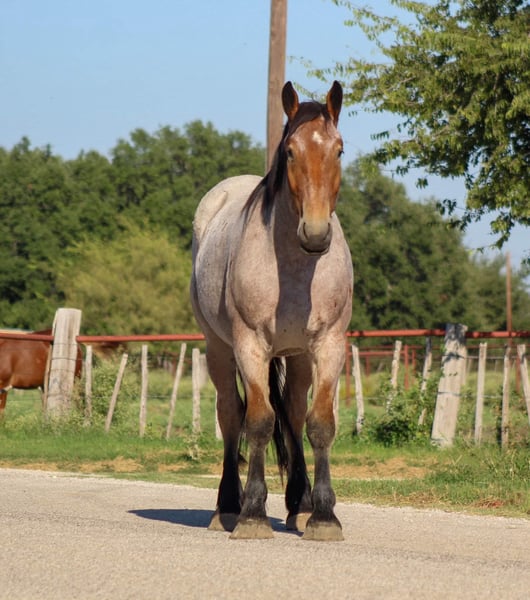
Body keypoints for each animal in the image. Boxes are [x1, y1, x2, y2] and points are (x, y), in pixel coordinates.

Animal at [190, 81, 353, 541]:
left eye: (339, 150)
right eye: (291, 152)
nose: (315, 233)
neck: (295, 268)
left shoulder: (329, 345)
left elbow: (320, 423)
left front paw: (323, 515)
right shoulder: (251, 347)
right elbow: (259, 422)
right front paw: (253, 513)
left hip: (296, 357)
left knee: (294, 415)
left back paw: (300, 503)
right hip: (219, 349)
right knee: (231, 415)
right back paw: (227, 506)